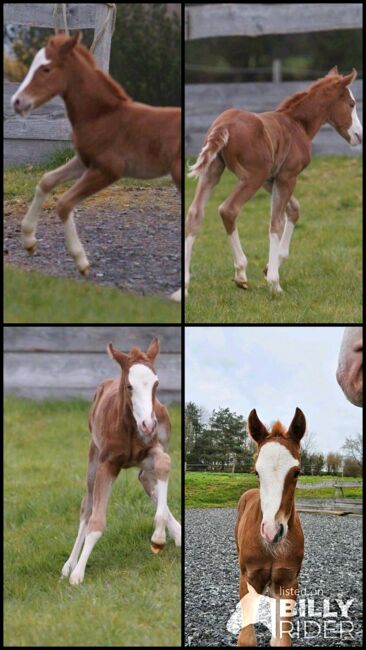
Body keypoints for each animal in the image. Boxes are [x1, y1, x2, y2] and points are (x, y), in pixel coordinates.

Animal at [11, 31, 182, 274]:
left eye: (46, 69)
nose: (17, 102)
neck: (102, 116)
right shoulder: (84, 161)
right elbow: (46, 180)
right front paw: (28, 241)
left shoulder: (107, 170)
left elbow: (64, 204)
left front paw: (80, 260)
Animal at [61, 336, 182, 584]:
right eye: (129, 386)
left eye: (156, 384)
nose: (148, 425)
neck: (130, 427)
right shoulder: (107, 464)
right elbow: (95, 520)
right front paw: (78, 573)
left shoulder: (151, 448)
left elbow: (164, 464)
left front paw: (159, 536)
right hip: (93, 455)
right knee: (87, 505)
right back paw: (69, 564)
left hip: (154, 446)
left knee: (147, 479)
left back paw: (175, 532)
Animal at [179, 66, 362, 298]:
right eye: (351, 104)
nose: (359, 135)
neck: (297, 124)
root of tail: (223, 125)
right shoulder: (287, 177)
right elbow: (276, 222)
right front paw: (274, 282)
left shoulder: (271, 178)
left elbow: (293, 209)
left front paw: (269, 268)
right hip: (251, 177)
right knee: (228, 209)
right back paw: (241, 272)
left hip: (213, 171)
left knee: (195, 214)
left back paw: (185, 285)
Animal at [234, 404, 306, 644]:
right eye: (257, 472)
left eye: (297, 472)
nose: (272, 531)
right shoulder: (250, 578)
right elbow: (246, 638)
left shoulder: (288, 582)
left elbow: (281, 639)